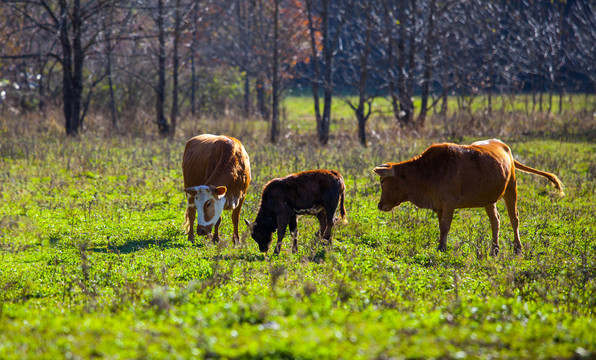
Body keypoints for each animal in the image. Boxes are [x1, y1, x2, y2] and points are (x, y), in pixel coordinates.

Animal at [372, 139, 564, 256]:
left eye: (383, 181)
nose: (380, 205)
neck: (428, 172)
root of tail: (503, 145)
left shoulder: (449, 203)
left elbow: (445, 227)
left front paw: (442, 248)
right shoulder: (439, 206)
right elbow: (441, 227)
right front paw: (440, 245)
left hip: (511, 189)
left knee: (514, 219)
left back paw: (517, 248)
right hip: (489, 199)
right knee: (495, 220)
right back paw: (494, 249)